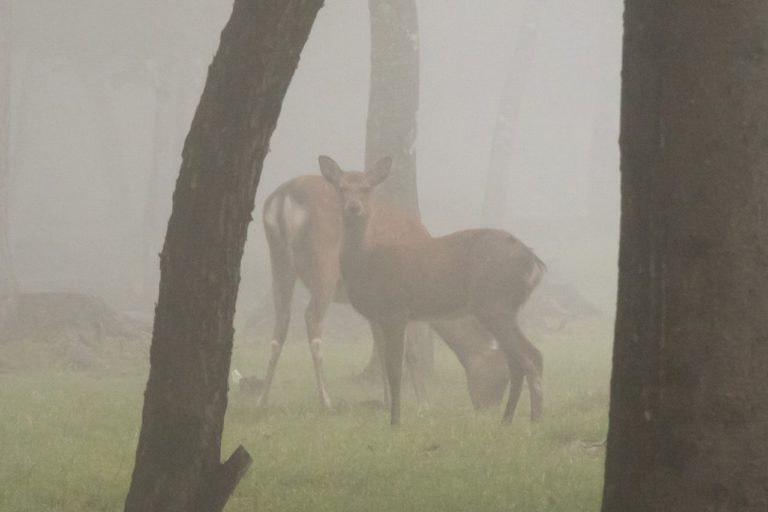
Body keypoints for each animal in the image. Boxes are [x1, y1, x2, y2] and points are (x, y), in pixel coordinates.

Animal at [255, 175, 512, 412]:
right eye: (504, 375)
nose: (490, 409)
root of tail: (284, 196)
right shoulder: (407, 296)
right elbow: (410, 350)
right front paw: (423, 403)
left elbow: (381, 347)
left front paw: (388, 401)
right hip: (323, 265)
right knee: (311, 319)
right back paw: (326, 400)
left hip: (279, 261)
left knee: (281, 321)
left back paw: (262, 399)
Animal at [318, 154, 544, 426]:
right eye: (341, 187)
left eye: (367, 188)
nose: (354, 207)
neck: (368, 262)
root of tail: (534, 262)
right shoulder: (381, 317)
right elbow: (388, 365)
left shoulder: (396, 311)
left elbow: (395, 369)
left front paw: (396, 422)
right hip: (501, 308)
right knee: (517, 360)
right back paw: (506, 420)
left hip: (496, 304)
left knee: (532, 356)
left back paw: (535, 421)